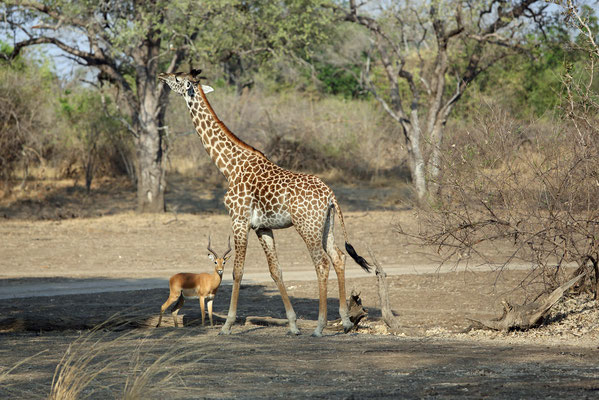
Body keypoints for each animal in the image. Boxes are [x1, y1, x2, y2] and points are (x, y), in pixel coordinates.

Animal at [159, 69, 370, 338]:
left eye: (177, 78)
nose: (161, 75)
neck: (229, 167)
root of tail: (330, 196)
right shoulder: (262, 227)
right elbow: (275, 270)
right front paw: (293, 325)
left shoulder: (238, 220)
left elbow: (237, 270)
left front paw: (227, 326)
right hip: (326, 226)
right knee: (338, 257)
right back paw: (344, 321)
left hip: (307, 227)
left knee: (322, 263)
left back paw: (320, 326)